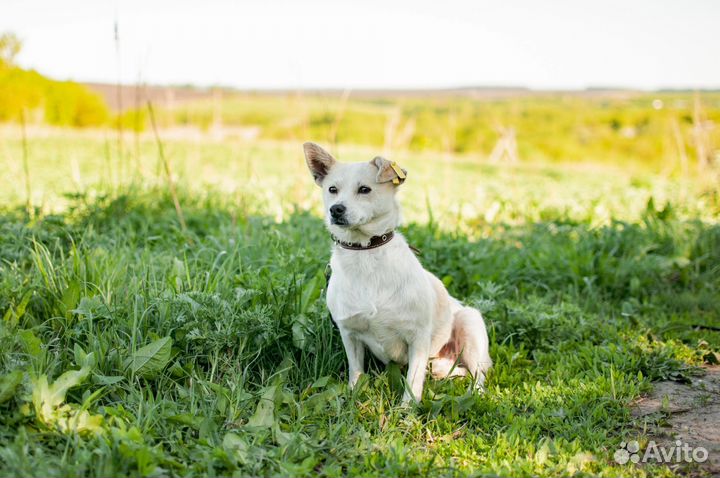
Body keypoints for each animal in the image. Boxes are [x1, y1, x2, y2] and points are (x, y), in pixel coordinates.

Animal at [304, 142, 496, 404]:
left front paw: (406, 409)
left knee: (478, 374)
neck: (365, 253)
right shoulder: (349, 333)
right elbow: (356, 371)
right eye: (332, 189)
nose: (336, 209)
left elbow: (413, 381)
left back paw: (476, 396)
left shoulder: (418, 338)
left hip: (470, 322)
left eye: (364, 189)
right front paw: (353, 398)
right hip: (443, 366)